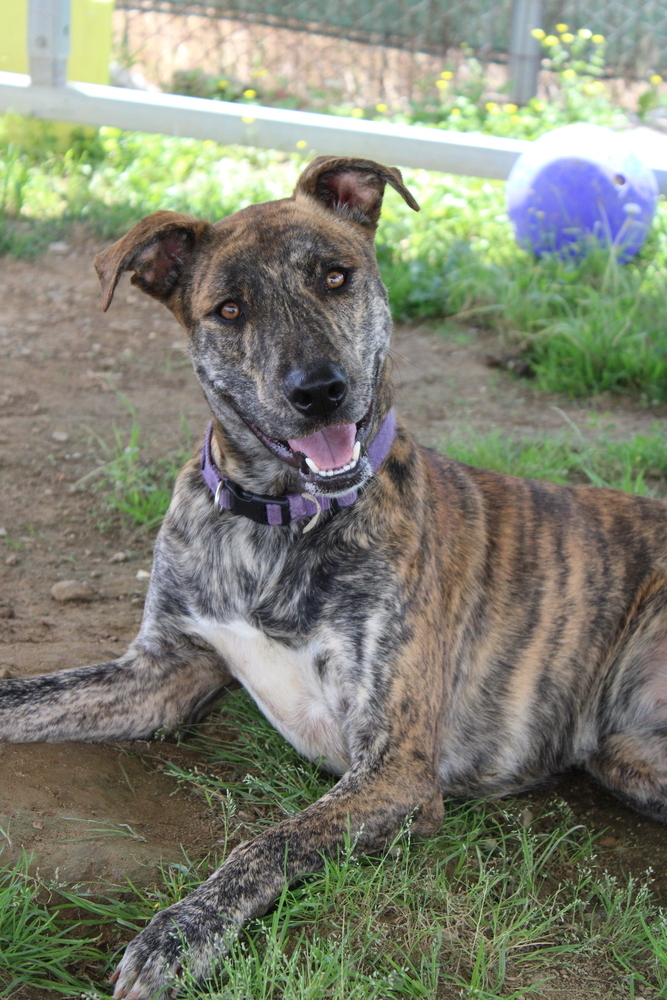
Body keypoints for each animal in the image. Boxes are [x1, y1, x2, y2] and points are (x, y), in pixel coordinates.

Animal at [1, 160, 667, 996]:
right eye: (227, 309)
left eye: (334, 276)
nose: (318, 390)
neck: (276, 522)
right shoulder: (163, 671)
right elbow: (25, 698)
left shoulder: (394, 766)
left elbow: (271, 842)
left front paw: (178, 935)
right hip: (627, 754)